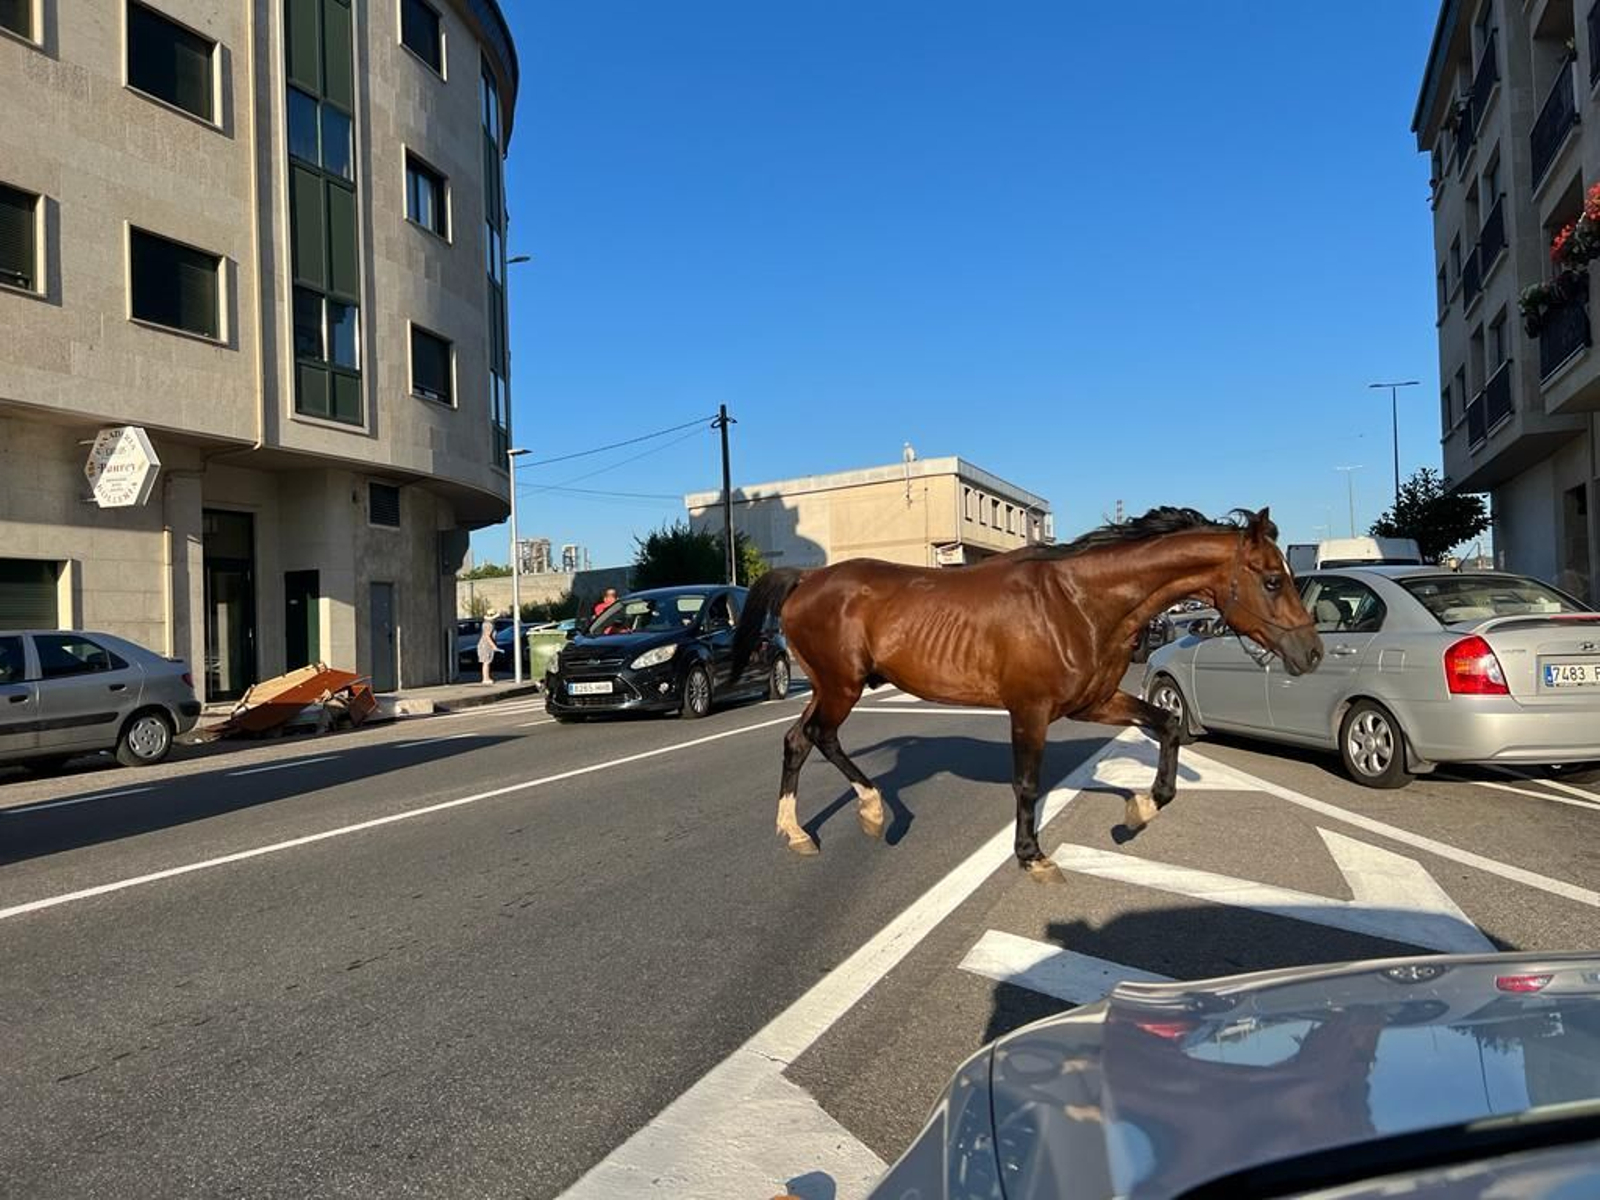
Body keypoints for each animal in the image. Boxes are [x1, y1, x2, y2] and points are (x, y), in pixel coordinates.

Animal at [728, 506, 1323, 883]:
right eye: (1272, 579)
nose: (1313, 652)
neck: (1077, 602)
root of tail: (806, 578)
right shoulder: (1030, 711)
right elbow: (1028, 784)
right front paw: (1034, 857)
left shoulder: (1094, 703)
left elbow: (1168, 725)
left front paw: (1138, 811)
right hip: (842, 686)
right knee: (818, 736)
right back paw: (869, 813)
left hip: (829, 686)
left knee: (798, 741)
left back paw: (800, 832)